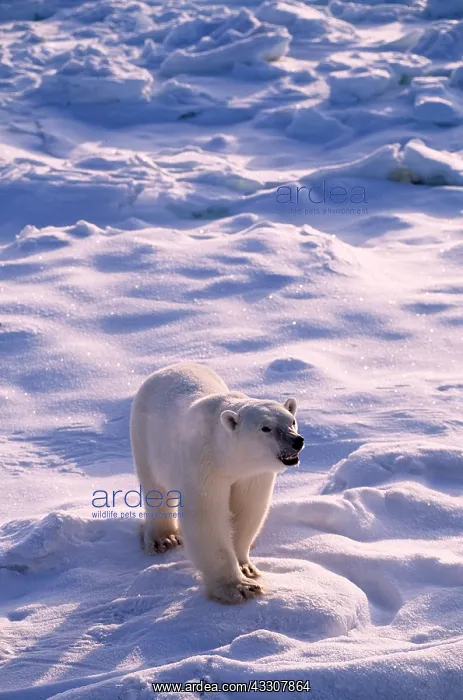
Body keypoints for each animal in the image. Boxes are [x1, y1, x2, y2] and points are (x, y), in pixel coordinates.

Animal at [130, 362, 304, 604]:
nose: (297, 441)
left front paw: (246, 567)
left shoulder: (253, 475)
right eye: (265, 428)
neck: (227, 455)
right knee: (155, 489)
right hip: (145, 435)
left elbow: (246, 511)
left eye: (292, 421)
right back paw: (163, 539)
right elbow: (207, 518)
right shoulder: (204, 465)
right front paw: (240, 588)